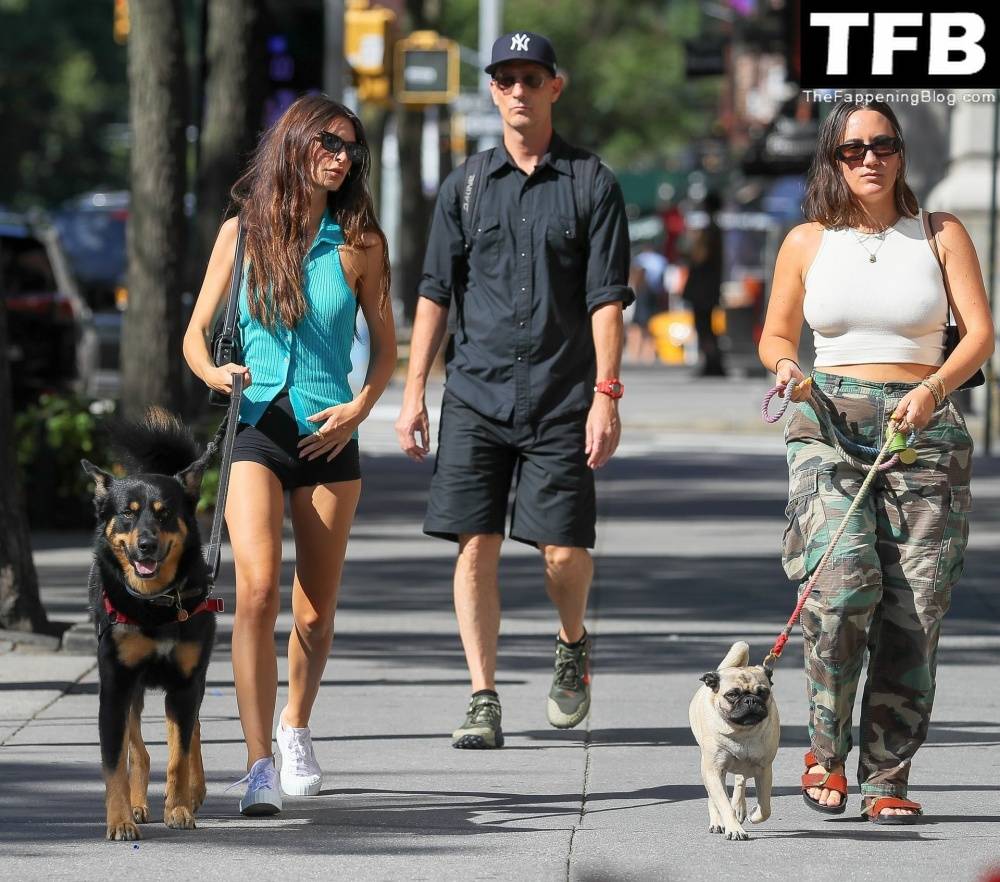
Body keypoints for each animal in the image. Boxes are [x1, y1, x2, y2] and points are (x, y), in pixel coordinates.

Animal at [81, 408, 223, 840]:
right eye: (127, 512)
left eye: (165, 513)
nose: (146, 545)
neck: (155, 604)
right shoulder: (116, 685)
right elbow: (114, 763)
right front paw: (120, 820)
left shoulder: (185, 684)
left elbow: (179, 754)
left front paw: (178, 809)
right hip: (133, 691)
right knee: (139, 751)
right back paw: (139, 805)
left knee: (192, 734)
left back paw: (193, 792)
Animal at [688, 640, 780, 840]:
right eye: (732, 695)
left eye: (763, 693)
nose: (750, 700)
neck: (741, 732)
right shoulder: (714, 771)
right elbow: (723, 803)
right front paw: (734, 829)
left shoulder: (764, 769)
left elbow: (765, 807)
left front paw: (754, 814)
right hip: (708, 769)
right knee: (714, 798)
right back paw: (718, 822)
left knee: (740, 780)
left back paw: (740, 808)